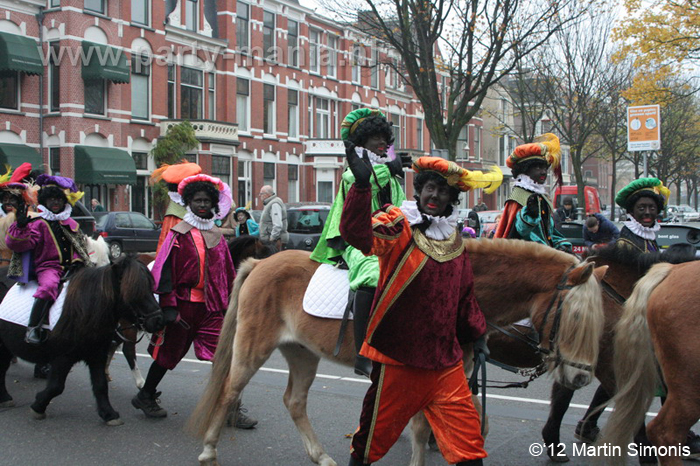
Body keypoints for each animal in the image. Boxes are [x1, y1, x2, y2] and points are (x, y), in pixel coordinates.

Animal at [0, 256, 163, 424]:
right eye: (133, 290)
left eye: (151, 287)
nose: (158, 320)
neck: (85, 310)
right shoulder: (62, 357)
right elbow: (56, 386)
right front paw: (38, 406)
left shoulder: (97, 354)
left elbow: (100, 385)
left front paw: (109, 414)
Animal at [187, 240, 608, 466]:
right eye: (573, 318)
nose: (580, 377)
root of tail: (260, 261)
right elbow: (420, 429)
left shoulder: (458, 373)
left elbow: (465, 423)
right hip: (253, 348)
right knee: (229, 390)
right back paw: (208, 450)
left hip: (302, 352)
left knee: (294, 401)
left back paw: (320, 455)